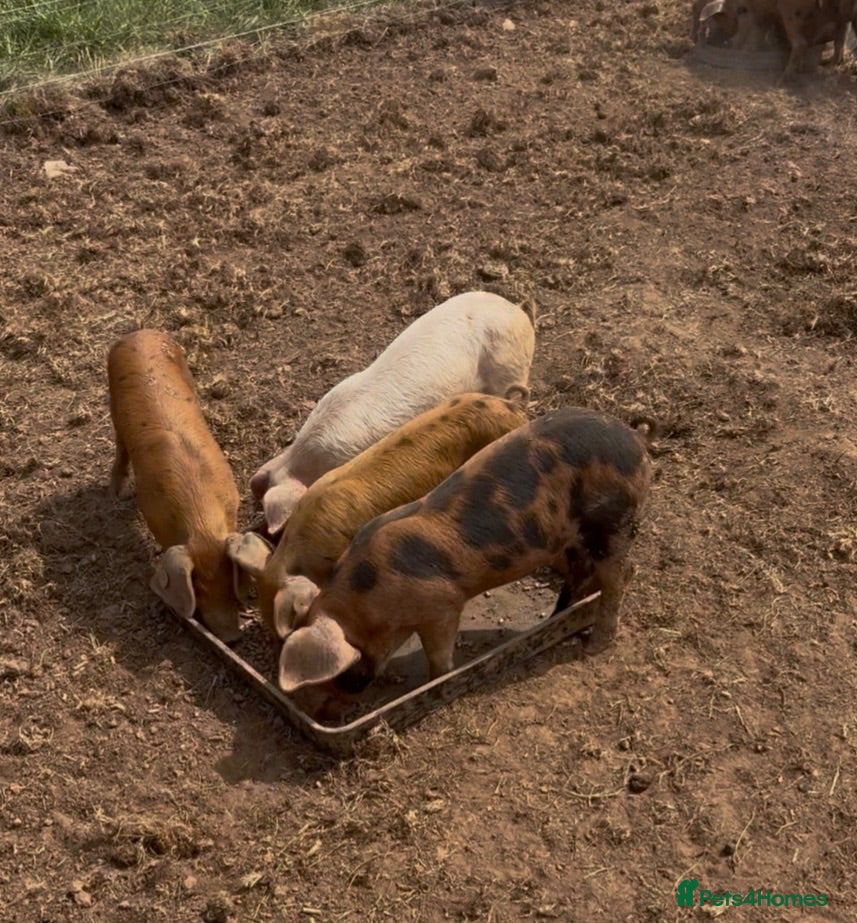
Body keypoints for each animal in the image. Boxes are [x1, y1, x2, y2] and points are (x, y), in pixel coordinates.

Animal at [108, 329, 246, 643]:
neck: (201, 520)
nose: (231, 637)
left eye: (229, 582)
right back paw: (119, 493)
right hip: (112, 402)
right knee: (120, 444)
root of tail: (138, 332)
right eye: (199, 588)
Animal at [275, 407, 653, 694]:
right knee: (582, 573)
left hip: (614, 517)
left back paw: (594, 644)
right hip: (572, 535)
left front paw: (433, 684)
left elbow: (440, 656)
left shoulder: (442, 603)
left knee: (621, 575)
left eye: (348, 663)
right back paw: (555, 617)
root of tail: (636, 443)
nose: (352, 690)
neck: (368, 593)